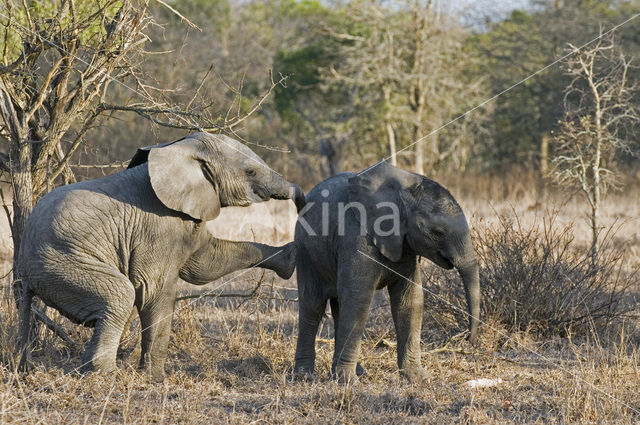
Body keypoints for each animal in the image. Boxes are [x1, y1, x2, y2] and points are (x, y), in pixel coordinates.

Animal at [15, 131, 304, 380]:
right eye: (250, 171)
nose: (301, 203)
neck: (177, 149)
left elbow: (204, 265)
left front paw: (290, 257)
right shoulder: (155, 225)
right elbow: (154, 289)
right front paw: (154, 378)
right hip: (62, 263)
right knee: (120, 295)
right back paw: (107, 375)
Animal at [292, 161, 478, 382]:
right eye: (437, 233)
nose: (467, 339)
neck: (403, 191)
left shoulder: (405, 244)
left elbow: (410, 299)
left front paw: (417, 377)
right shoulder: (356, 237)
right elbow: (358, 298)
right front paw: (347, 382)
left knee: (338, 306)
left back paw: (356, 371)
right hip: (305, 250)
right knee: (313, 304)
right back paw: (305, 376)